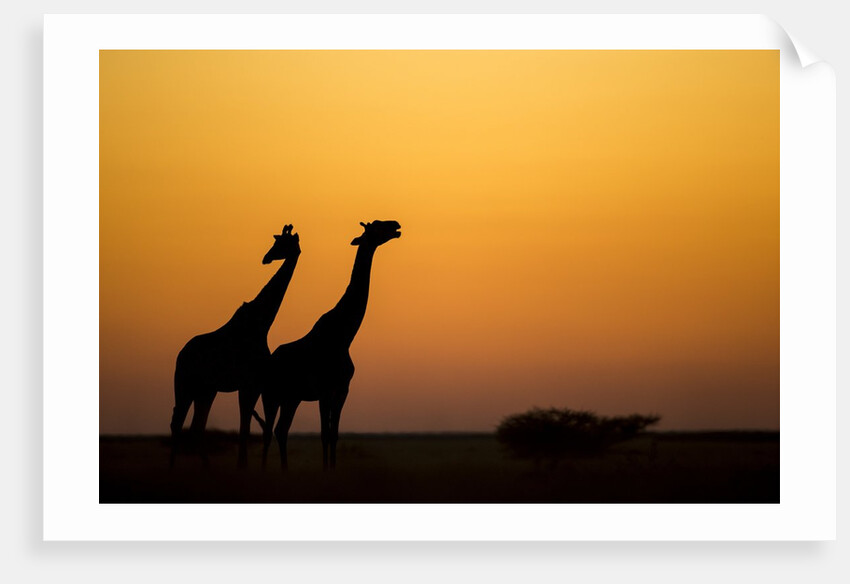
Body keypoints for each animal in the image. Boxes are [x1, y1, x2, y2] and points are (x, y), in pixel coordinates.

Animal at [170, 224, 301, 468]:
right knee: (177, 421)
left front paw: (243, 466)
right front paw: (242, 467)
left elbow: (245, 428)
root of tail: (180, 355)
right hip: (185, 384)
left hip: (206, 389)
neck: (262, 323)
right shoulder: (249, 383)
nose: (266, 258)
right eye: (276, 242)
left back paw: (207, 467)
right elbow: (244, 429)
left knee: (195, 425)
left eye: (282, 243)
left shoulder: (253, 384)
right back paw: (173, 467)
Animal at [258, 220, 401, 470]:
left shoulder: (342, 389)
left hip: (291, 398)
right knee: (268, 432)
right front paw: (325, 470)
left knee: (281, 430)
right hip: (271, 395)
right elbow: (324, 434)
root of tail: (269, 361)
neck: (343, 336)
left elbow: (334, 434)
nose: (396, 224)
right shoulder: (324, 390)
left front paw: (333, 469)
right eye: (375, 226)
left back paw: (285, 470)